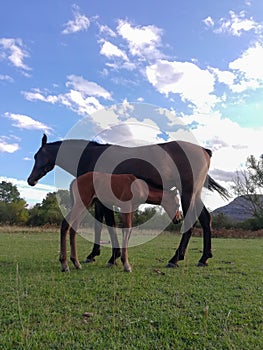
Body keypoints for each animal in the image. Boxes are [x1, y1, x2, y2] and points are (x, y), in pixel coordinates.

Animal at [27, 135, 230, 268]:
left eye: (37, 155)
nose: (31, 180)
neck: (92, 155)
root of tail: (205, 151)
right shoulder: (99, 200)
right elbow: (101, 225)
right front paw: (95, 255)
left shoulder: (104, 201)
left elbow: (108, 225)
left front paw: (112, 257)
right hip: (194, 195)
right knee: (205, 219)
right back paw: (203, 258)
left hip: (188, 194)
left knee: (191, 222)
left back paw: (175, 259)